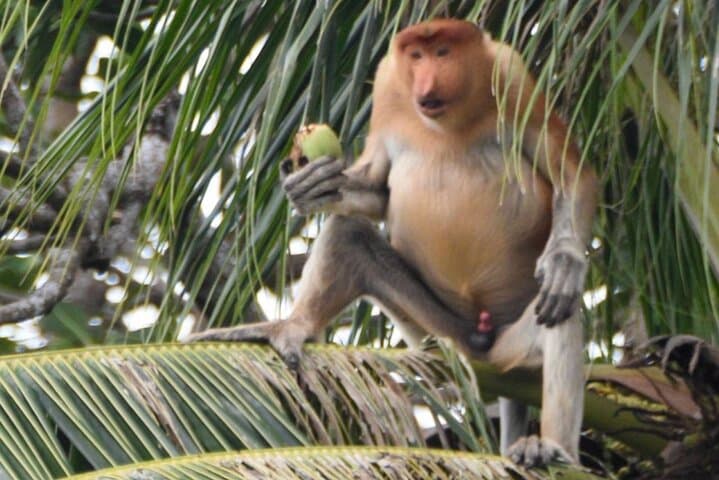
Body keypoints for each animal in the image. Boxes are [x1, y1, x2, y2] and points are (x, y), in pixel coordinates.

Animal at [188, 19, 598, 467]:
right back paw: (292, 327)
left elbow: (571, 173)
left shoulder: (512, 77)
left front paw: (565, 262)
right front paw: (314, 185)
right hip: (435, 333)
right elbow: (378, 189)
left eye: (442, 52)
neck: (448, 121)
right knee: (348, 234)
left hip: (509, 346)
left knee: (561, 317)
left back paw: (554, 448)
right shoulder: (387, 86)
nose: (425, 81)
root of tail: (483, 346)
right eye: (416, 56)